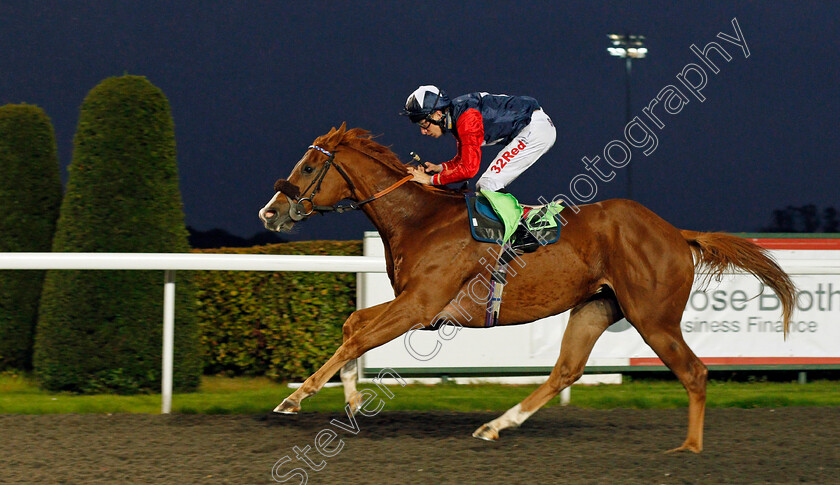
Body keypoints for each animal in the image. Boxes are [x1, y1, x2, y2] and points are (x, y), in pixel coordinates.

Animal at [260, 123, 796, 452]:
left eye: (309, 167)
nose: (270, 211)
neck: (419, 220)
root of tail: (675, 232)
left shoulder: (420, 305)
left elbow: (357, 335)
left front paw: (295, 398)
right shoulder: (413, 304)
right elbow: (354, 326)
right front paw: (350, 399)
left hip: (654, 317)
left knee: (694, 372)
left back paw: (689, 448)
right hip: (596, 307)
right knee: (565, 371)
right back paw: (496, 425)